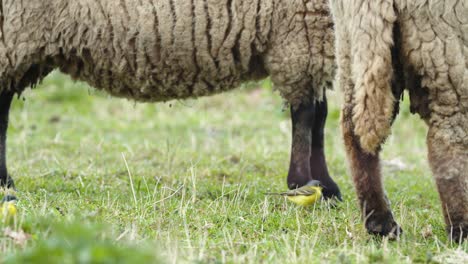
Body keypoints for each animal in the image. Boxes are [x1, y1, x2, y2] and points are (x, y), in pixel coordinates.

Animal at [0, 0, 344, 198]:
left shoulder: (314, 37)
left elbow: (320, 117)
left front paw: (326, 186)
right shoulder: (301, 34)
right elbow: (307, 115)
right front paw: (304, 183)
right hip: (14, 33)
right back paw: (6, 182)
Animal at [330, 0, 468, 241]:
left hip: (352, 45)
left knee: (353, 133)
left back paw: (381, 225)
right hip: (445, 46)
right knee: (447, 142)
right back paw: (461, 230)